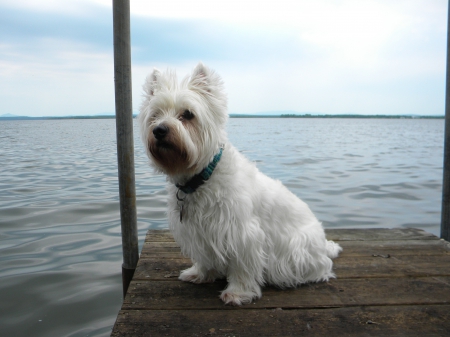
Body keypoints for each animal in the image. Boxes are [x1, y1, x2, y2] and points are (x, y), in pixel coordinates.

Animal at [138, 62, 342, 304]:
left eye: (187, 114)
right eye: (155, 115)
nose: (159, 130)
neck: (202, 177)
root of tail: (322, 244)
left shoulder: (242, 234)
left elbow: (243, 266)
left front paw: (237, 292)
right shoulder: (198, 232)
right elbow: (204, 258)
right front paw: (199, 274)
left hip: (298, 251)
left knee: (321, 269)